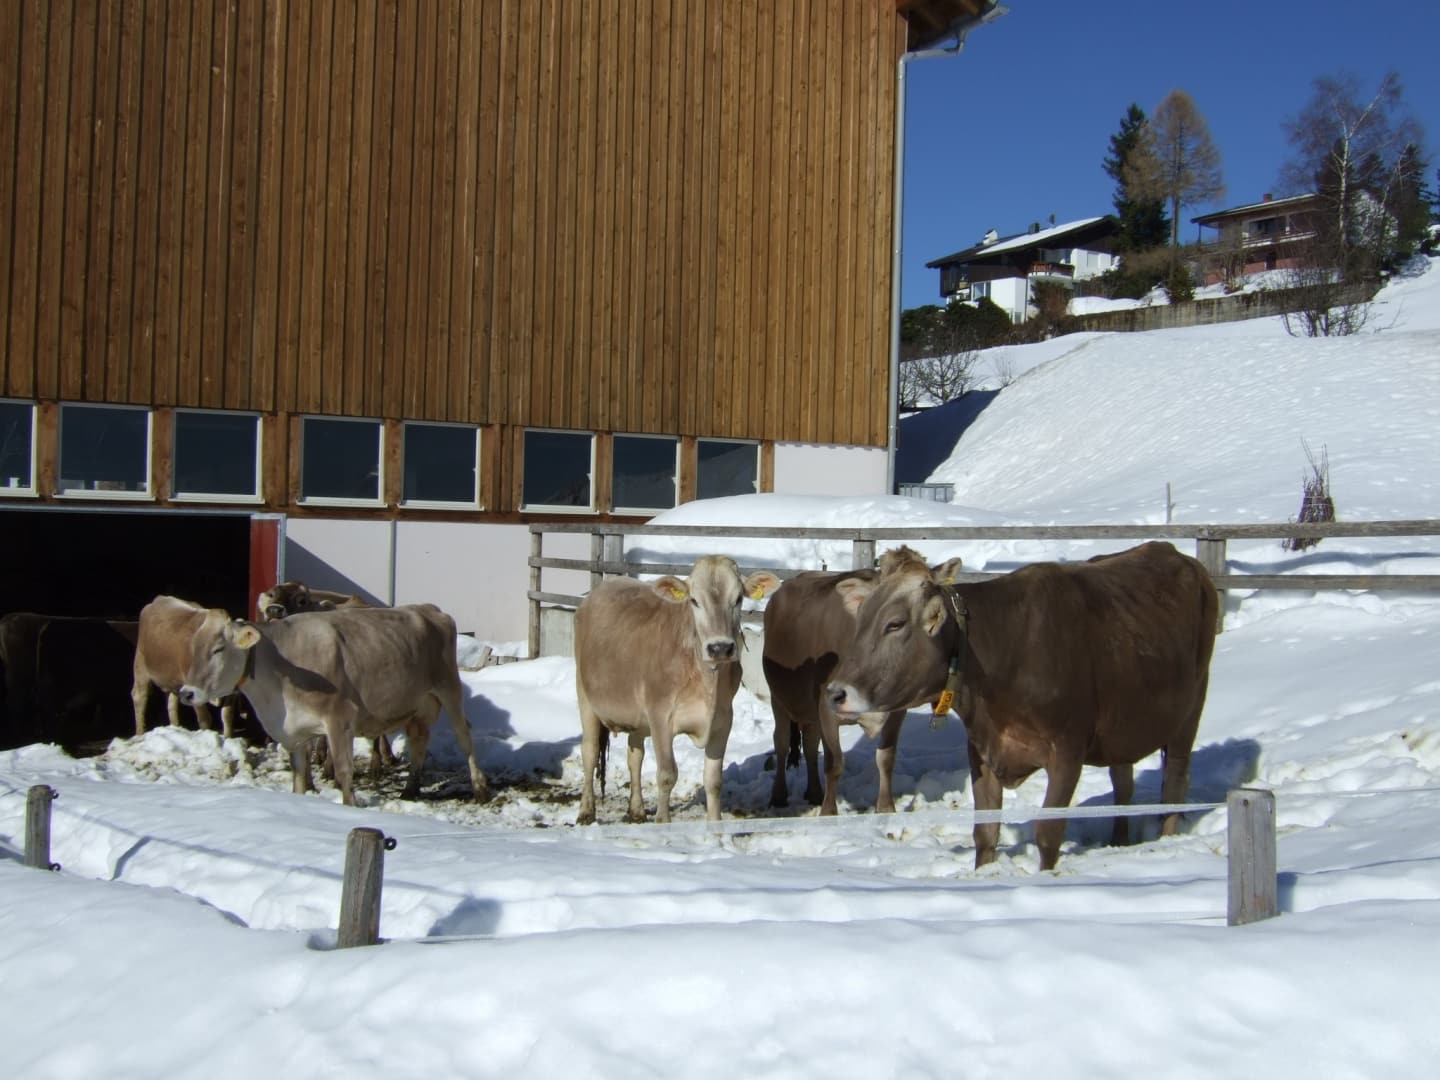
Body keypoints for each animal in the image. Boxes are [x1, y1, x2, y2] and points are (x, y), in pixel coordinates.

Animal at [133, 596, 239, 739]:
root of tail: (159, 599)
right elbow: (205, 719)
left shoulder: (232, 693)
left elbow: (227, 716)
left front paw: (228, 739)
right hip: (141, 665)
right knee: (139, 697)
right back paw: (140, 734)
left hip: (172, 678)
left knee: (171, 703)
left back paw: (175, 729)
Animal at [177, 603, 488, 806]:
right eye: (193, 647)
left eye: (218, 649)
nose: (186, 693)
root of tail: (428, 609)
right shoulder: (295, 733)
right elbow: (299, 776)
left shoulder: (340, 719)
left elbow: (343, 770)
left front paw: (349, 807)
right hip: (417, 705)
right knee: (419, 740)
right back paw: (410, 790)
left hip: (449, 689)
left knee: (464, 737)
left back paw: (480, 789)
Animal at [575, 556, 781, 824]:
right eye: (694, 600)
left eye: (737, 599)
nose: (720, 648)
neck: (706, 681)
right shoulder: (660, 716)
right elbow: (667, 774)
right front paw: (663, 822)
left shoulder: (723, 720)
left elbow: (714, 780)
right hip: (585, 696)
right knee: (589, 751)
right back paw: (586, 812)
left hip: (637, 715)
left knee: (635, 755)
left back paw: (637, 810)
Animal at [762, 548, 962, 816]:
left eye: (931, 588)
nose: (933, 620)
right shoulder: (826, 706)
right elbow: (834, 763)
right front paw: (829, 813)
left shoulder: (896, 711)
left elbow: (886, 758)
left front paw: (886, 808)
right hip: (780, 699)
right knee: (782, 743)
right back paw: (779, 795)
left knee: (811, 745)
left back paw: (814, 792)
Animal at [824, 542, 1218, 871]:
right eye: (860, 619)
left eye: (895, 623)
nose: (834, 693)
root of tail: (1177, 554)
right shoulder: (982, 749)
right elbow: (985, 832)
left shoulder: (1068, 751)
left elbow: (1048, 833)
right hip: (1122, 727)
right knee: (1123, 783)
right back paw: (1119, 841)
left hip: (1189, 712)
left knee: (1175, 785)